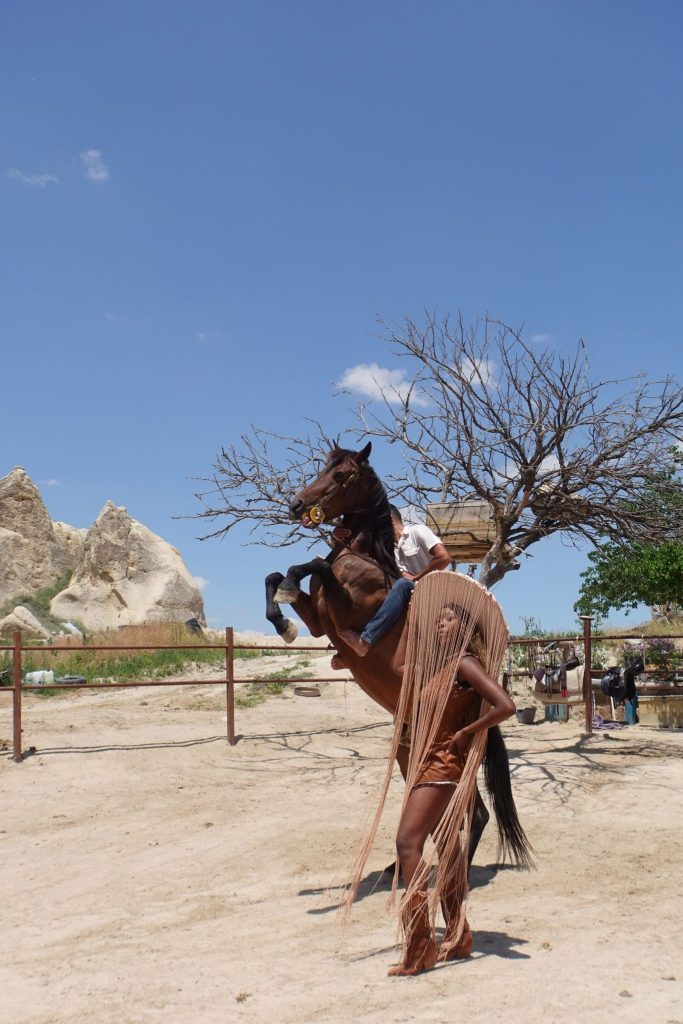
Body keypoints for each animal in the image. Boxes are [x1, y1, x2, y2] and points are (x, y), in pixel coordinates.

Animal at [264, 441, 528, 869]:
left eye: (341, 475)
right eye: (323, 467)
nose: (296, 504)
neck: (362, 556)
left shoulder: (345, 610)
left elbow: (314, 565)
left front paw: (292, 587)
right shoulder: (320, 622)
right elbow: (275, 578)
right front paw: (282, 621)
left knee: (474, 815)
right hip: (411, 753)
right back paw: (403, 869)